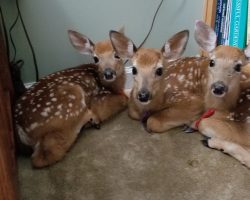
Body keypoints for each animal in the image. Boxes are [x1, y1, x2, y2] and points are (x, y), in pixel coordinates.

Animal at [13, 29, 128, 167]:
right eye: (95, 58)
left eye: (117, 55)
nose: (108, 73)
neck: (114, 86)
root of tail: (19, 126)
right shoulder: (100, 98)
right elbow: (123, 100)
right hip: (69, 103)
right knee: (44, 155)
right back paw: (90, 121)